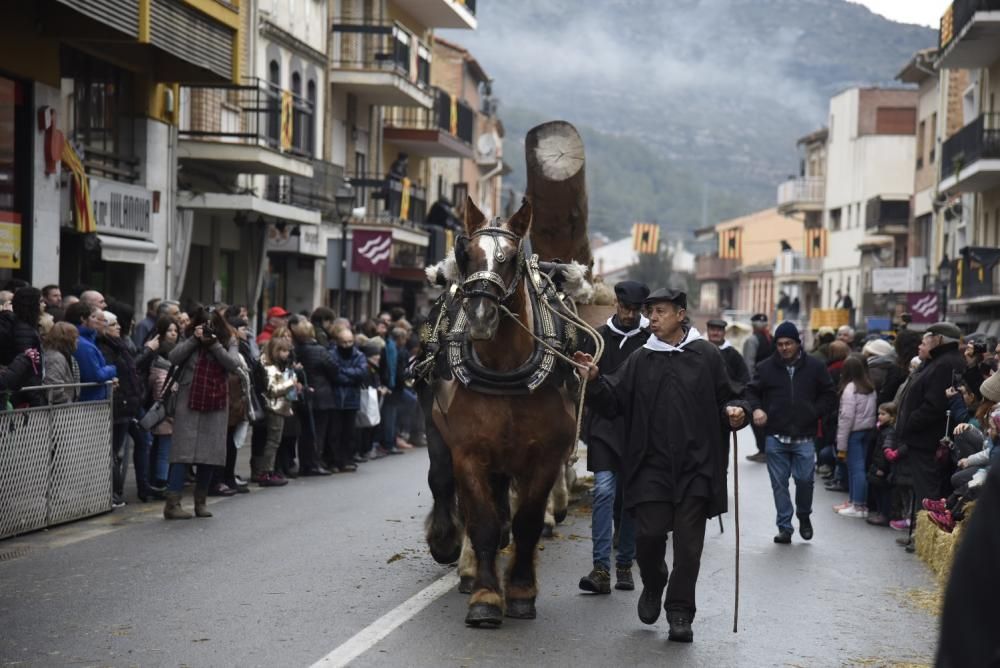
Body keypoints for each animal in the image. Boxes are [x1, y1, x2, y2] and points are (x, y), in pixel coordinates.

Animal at [426, 198, 576, 628]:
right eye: (466, 253)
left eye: (510, 258)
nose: (479, 317)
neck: (504, 368)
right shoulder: (469, 452)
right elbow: (483, 522)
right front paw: (485, 596)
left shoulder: (544, 455)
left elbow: (527, 522)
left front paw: (521, 591)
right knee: (442, 482)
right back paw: (454, 550)